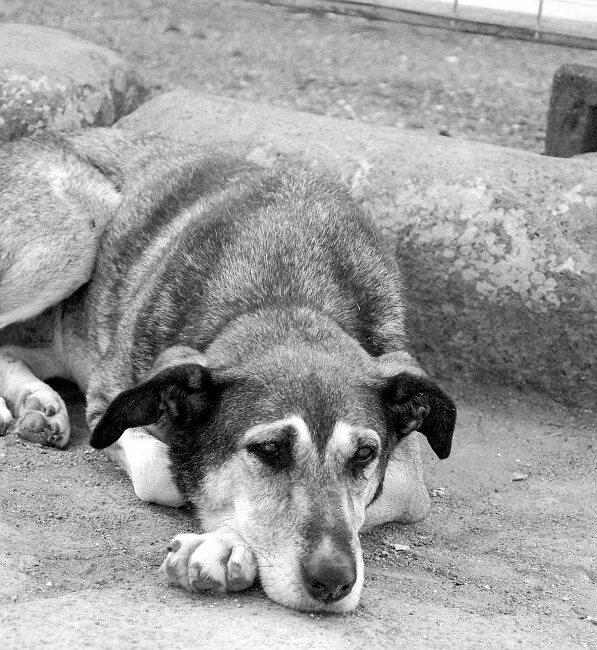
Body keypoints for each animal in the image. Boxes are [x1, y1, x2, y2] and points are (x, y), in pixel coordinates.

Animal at [1, 129, 456, 612]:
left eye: (365, 454)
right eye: (269, 450)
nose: (334, 582)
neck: (285, 294)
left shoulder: (408, 480)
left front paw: (223, 542)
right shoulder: (108, 403)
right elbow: (168, 472)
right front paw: (224, 536)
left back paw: (39, 404)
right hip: (76, 229)